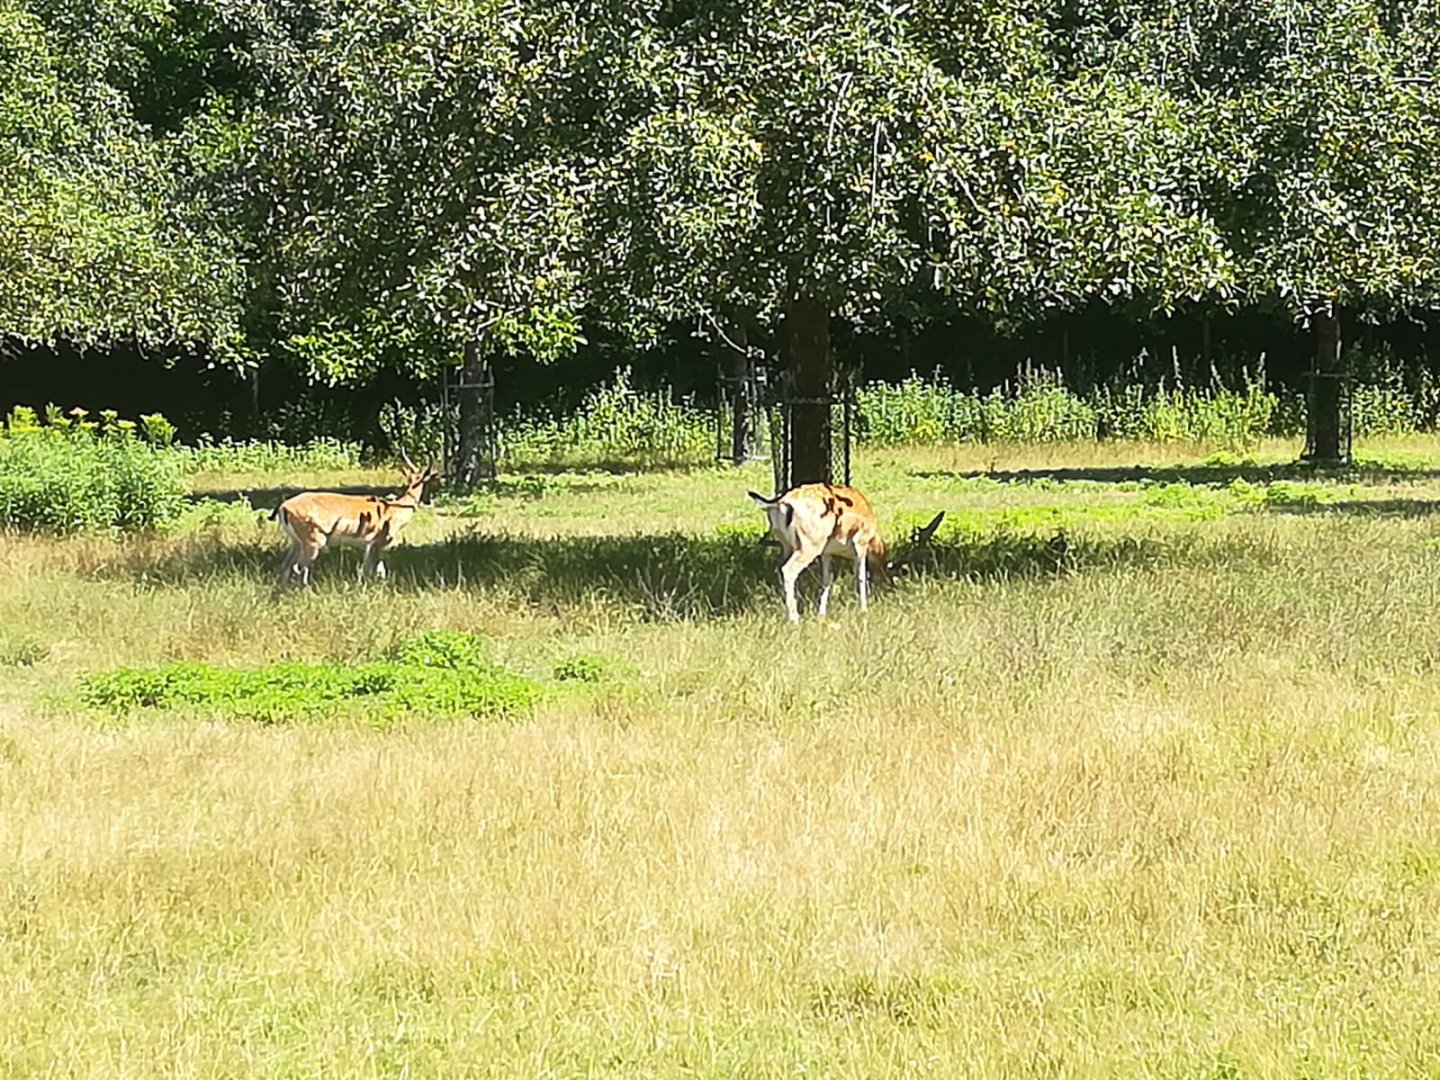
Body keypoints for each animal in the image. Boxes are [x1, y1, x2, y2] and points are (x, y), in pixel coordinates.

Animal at [270, 451, 439, 587]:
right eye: (428, 483)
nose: (428, 500)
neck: (394, 512)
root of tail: (283, 507)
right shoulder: (377, 542)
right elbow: (372, 570)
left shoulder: (369, 545)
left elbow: (373, 570)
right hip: (313, 540)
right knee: (299, 568)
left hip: (296, 542)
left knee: (286, 566)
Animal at [748, 484, 944, 622]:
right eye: (891, 579)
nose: (890, 594)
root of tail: (780, 502)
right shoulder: (860, 543)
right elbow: (861, 576)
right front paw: (864, 610)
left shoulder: (826, 552)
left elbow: (827, 579)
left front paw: (822, 613)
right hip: (810, 544)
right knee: (788, 570)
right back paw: (794, 619)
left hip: (786, 544)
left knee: (781, 569)